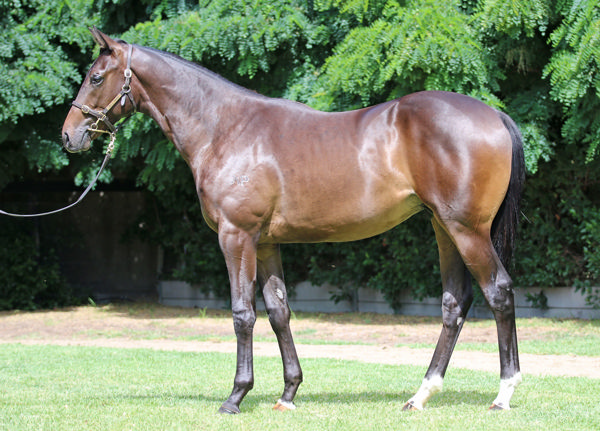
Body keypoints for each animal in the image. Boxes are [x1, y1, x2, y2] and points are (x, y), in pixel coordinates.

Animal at [62, 27, 524, 416]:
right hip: (443, 228)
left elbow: (242, 314)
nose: (69, 135)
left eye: (97, 77)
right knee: (454, 303)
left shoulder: (236, 237)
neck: (226, 129)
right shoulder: (266, 243)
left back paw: (503, 393)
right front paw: (288, 393)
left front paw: (235, 396)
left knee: (498, 292)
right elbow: (278, 312)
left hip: (467, 231)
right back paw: (421, 394)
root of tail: (495, 116)